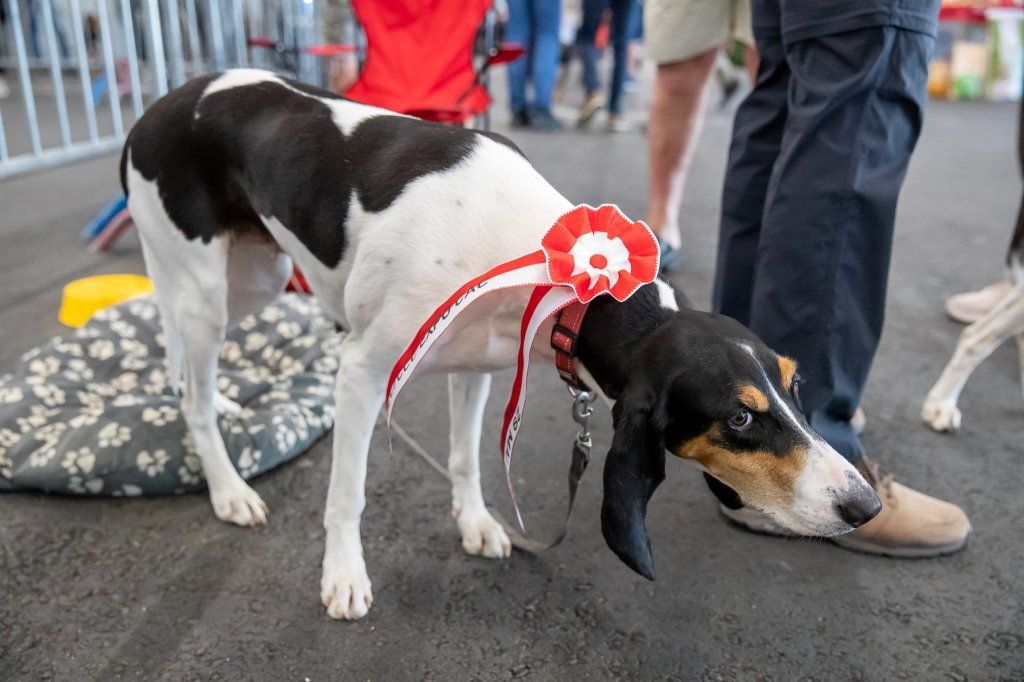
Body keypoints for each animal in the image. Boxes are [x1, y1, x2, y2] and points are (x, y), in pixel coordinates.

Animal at [121, 69, 880, 614]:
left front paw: (477, 523)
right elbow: (348, 494)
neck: (540, 258)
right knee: (191, 396)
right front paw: (343, 576)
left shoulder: (480, 366)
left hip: (254, 278)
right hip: (208, 294)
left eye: (796, 384)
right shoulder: (361, 373)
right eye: (740, 418)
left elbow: (465, 460)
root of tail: (156, 107)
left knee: (185, 367)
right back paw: (228, 489)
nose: (865, 506)